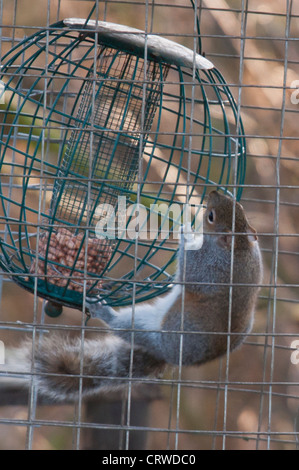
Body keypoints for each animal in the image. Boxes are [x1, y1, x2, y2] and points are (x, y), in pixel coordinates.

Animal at [0, 191, 262, 400]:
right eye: (239, 207)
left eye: (211, 217)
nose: (213, 192)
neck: (238, 249)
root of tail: (167, 357)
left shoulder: (210, 269)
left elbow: (189, 272)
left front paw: (186, 231)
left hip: (146, 329)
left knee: (123, 326)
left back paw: (103, 311)